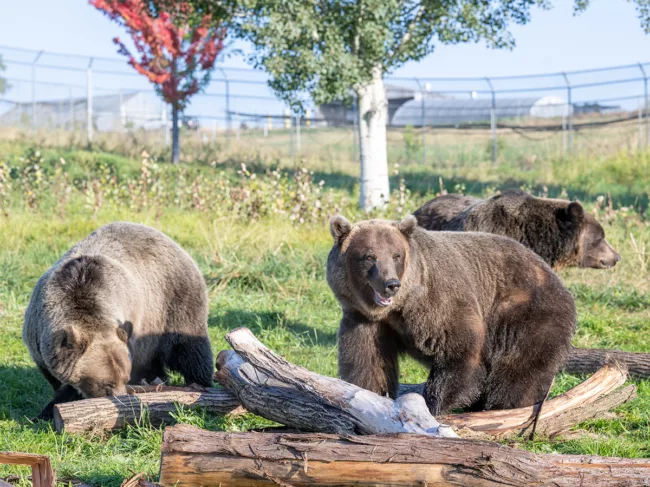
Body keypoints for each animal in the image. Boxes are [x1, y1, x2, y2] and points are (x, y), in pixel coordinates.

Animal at [23, 222, 214, 420]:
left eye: (124, 378)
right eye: (106, 384)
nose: (122, 399)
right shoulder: (39, 339)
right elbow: (56, 378)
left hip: (172, 302)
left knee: (189, 348)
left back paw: (200, 384)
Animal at [327, 215, 576, 415]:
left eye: (396, 255)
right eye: (369, 256)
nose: (391, 284)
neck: (400, 306)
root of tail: (558, 280)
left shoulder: (438, 304)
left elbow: (457, 352)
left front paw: (433, 404)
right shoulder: (365, 320)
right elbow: (368, 362)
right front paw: (371, 395)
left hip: (523, 312)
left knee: (517, 367)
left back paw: (503, 405)